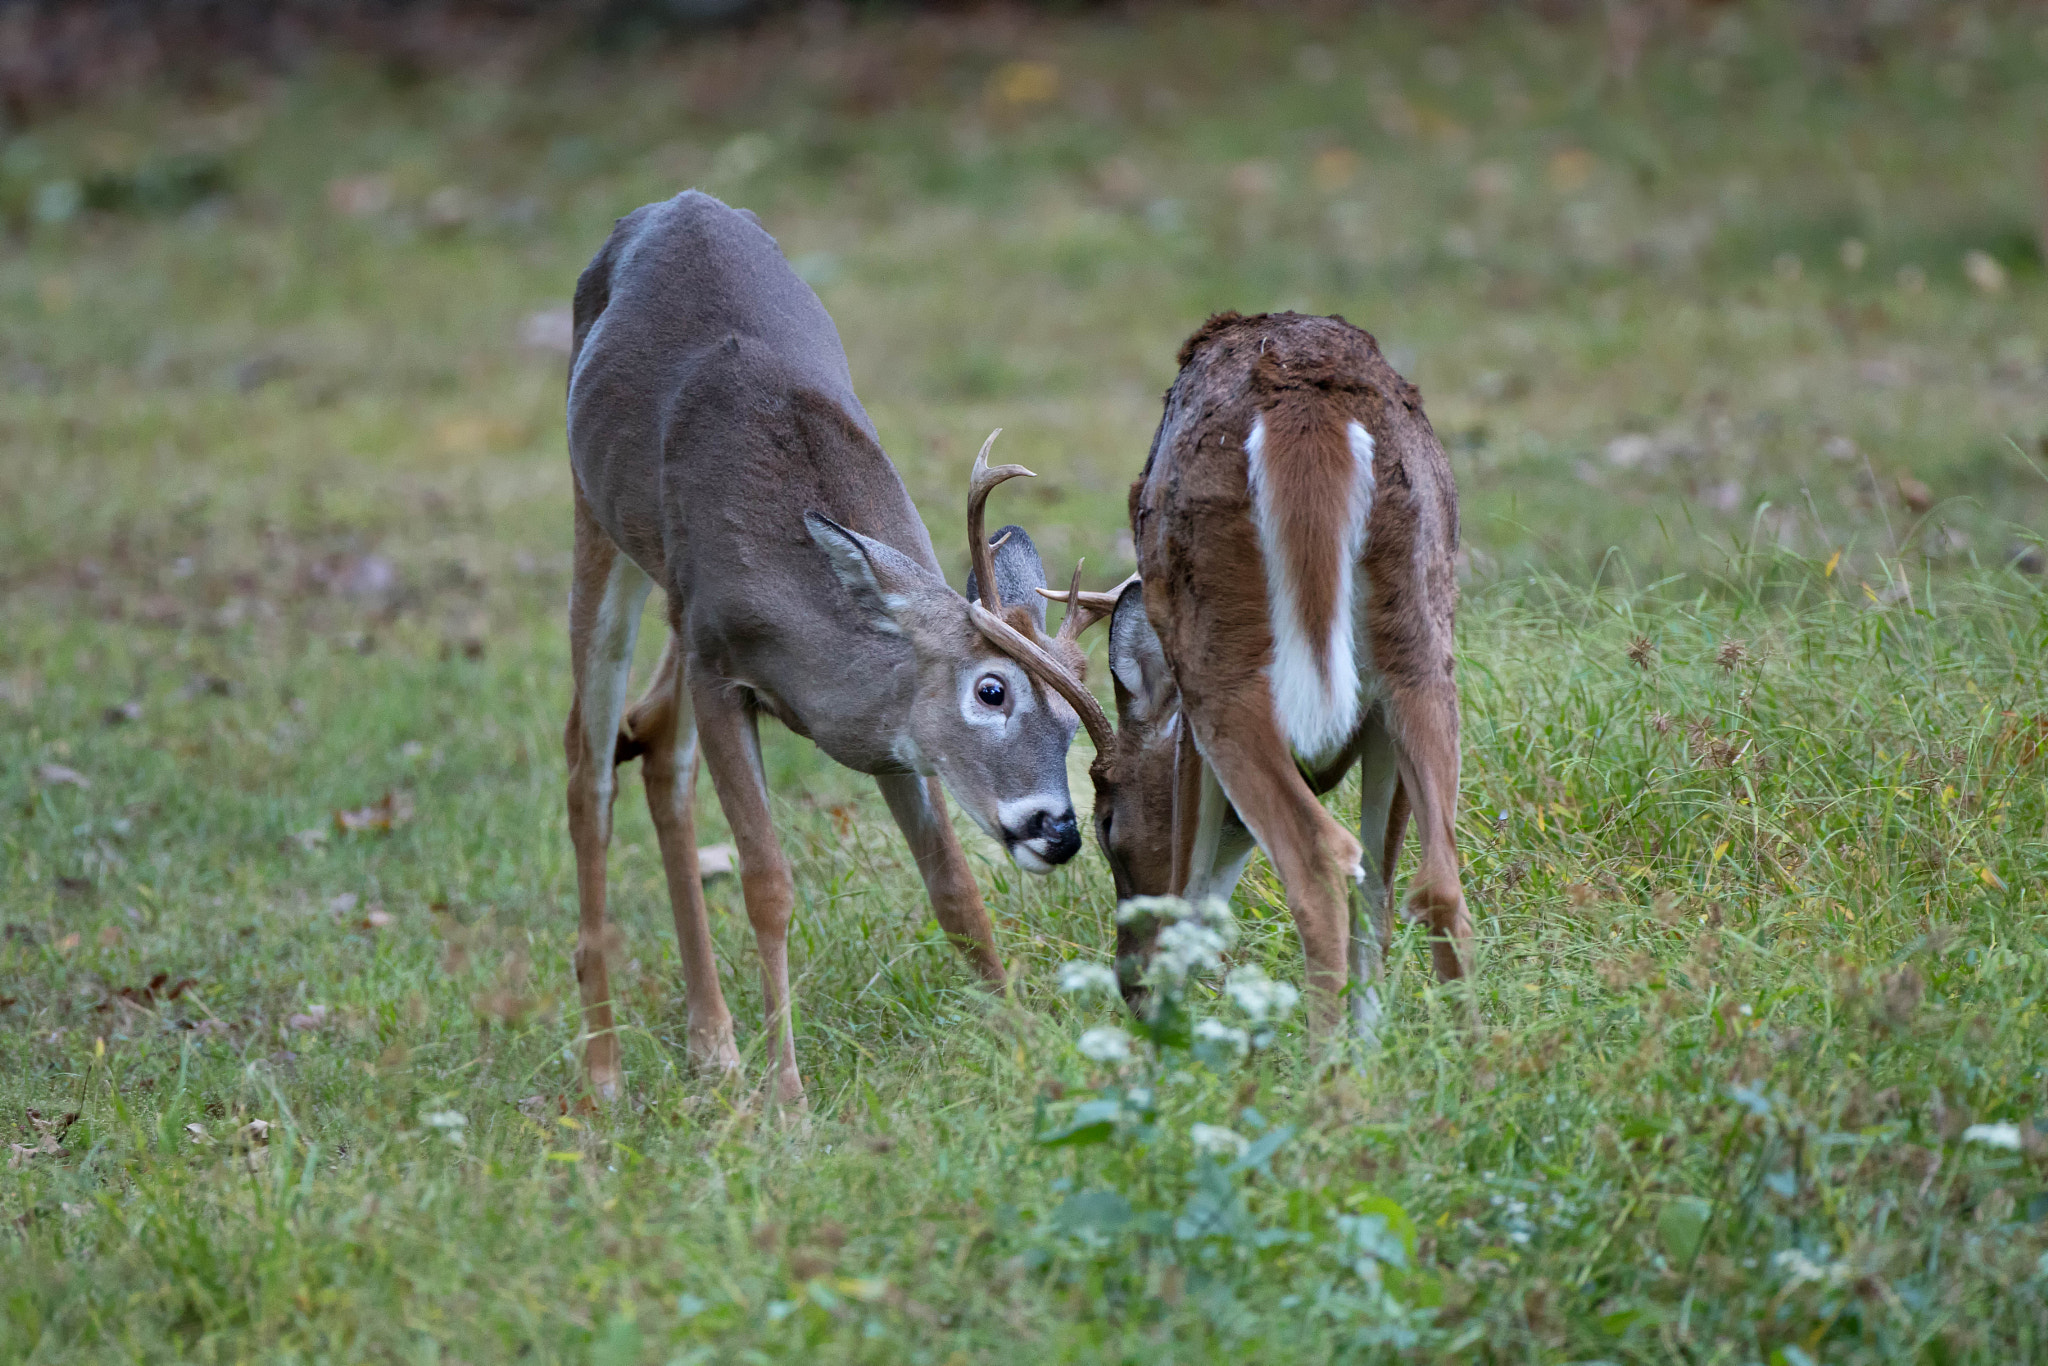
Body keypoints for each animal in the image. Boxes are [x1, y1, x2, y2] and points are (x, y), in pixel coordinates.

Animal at [565, 192, 1089, 1105]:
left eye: (1071, 722)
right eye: (991, 690)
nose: (1057, 830)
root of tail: (672, 202)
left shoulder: (891, 735)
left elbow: (953, 884)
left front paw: (1024, 1037)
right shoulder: (716, 661)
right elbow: (767, 883)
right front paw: (789, 1098)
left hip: (667, 596)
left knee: (655, 739)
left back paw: (712, 1044)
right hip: (599, 525)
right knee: (587, 764)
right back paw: (604, 1073)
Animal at [999, 313, 1466, 1036]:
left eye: (1105, 821)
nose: (1128, 983)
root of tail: (1308, 413)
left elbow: (1190, 880)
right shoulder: (1377, 717)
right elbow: (1378, 894)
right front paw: (1371, 1046)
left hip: (1222, 657)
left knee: (1320, 862)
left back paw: (1326, 1064)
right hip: (1419, 642)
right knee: (1437, 881)